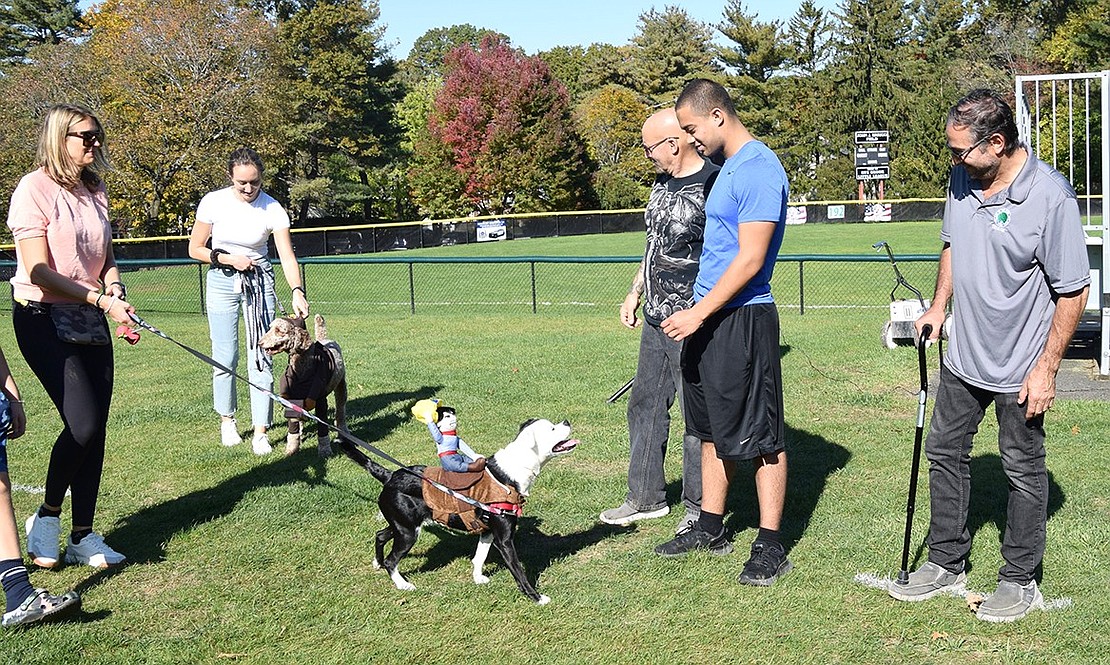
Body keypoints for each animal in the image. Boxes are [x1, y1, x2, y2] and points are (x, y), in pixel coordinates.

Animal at [259, 315, 346, 455]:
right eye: (270, 328)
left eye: (278, 330)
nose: (259, 343)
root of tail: (324, 339)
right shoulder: (292, 400)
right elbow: (293, 427)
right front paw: (291, 449)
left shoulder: (320, 401)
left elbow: (322, 427)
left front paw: (325, 450)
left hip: (341, 386)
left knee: (341, 411)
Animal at [337, 419, 581, 608]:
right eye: (552, 428)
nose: (567, 421)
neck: (510, 473)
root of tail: (390, 475)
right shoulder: (504, 540)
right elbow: (519, 572)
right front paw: (536, 598)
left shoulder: (487, 532)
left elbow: (479, 557)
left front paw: (478, 578)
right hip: (407, 533)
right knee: (392, 560)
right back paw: (402, 584)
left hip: (402, 525)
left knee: (380, 535)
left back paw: (377, 563)